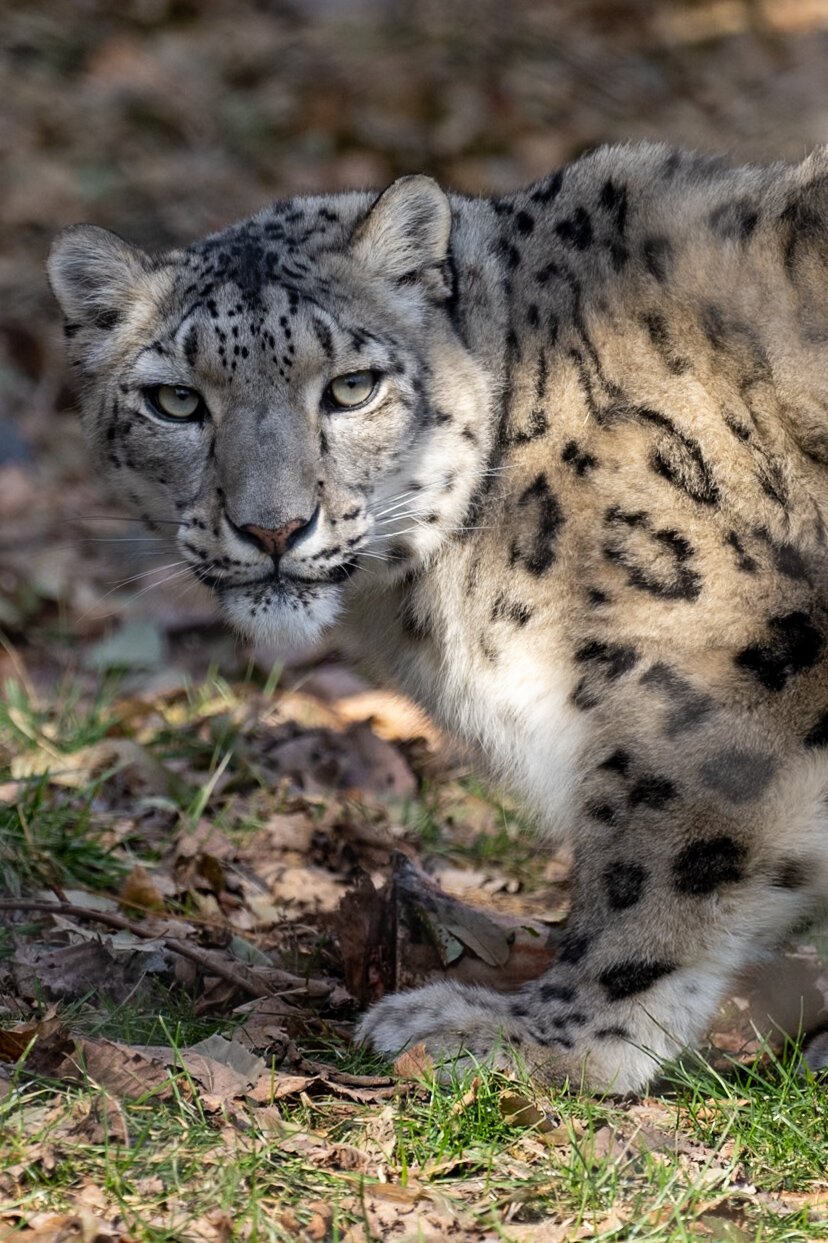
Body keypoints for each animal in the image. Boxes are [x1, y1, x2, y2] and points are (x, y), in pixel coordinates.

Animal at [50, 142, 825, 1088]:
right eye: (174, 401)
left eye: (352, 387)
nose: (271, 527)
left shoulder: (708, 661)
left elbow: (658, 864)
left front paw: (548, 1037)